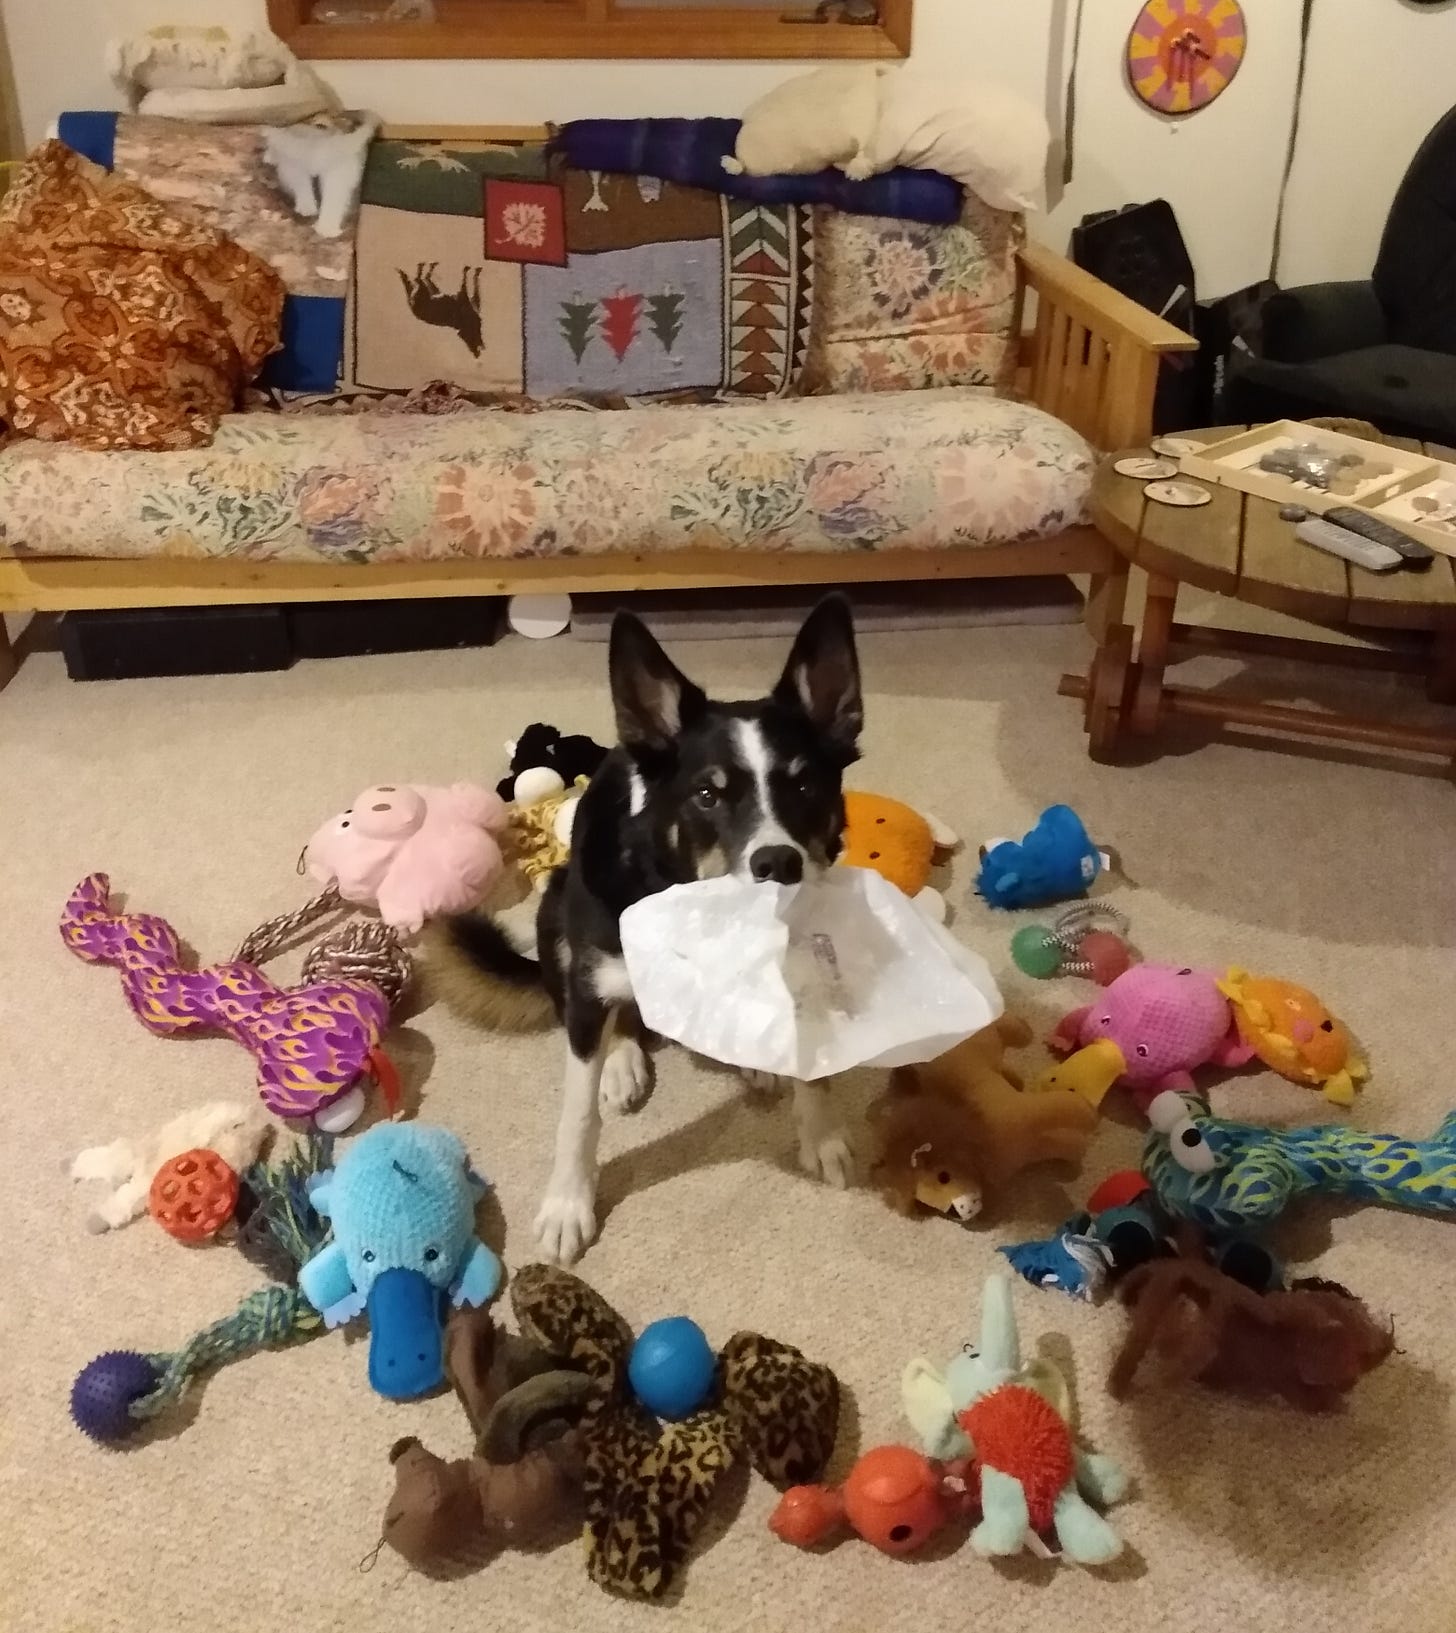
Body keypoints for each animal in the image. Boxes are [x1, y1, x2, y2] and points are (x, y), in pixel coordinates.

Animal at [430, 597, 861, 1260]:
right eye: (708, 794)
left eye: (807, 784)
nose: (780, 865)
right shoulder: (590, 983)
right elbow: (577, 1116)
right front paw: (568, 1205)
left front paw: (820, 1131)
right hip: (559, 918)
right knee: (612, 1013)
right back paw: (623, 1062)